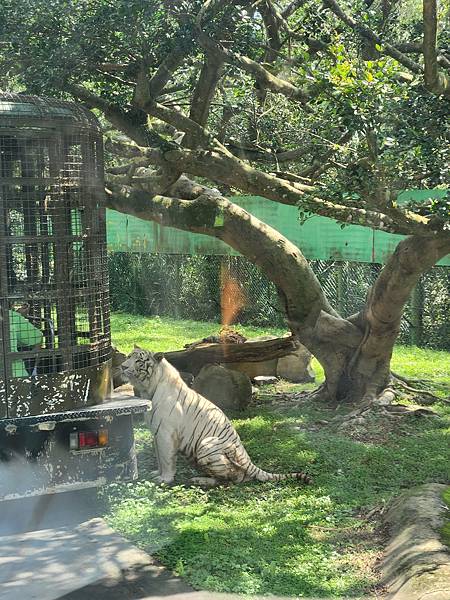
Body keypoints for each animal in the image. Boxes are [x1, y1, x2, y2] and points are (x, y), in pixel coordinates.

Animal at [119, 346, 312, 488]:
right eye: (128, 356)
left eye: (138, 360)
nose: (122, 366)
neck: (148, 388)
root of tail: (247, 458)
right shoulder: (156, 433)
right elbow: (159, 458)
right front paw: (157, 473)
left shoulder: (166, 433)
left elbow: (166, 459)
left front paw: (165, 479)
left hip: (206, 445)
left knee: (234, 478)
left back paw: (201, 480)